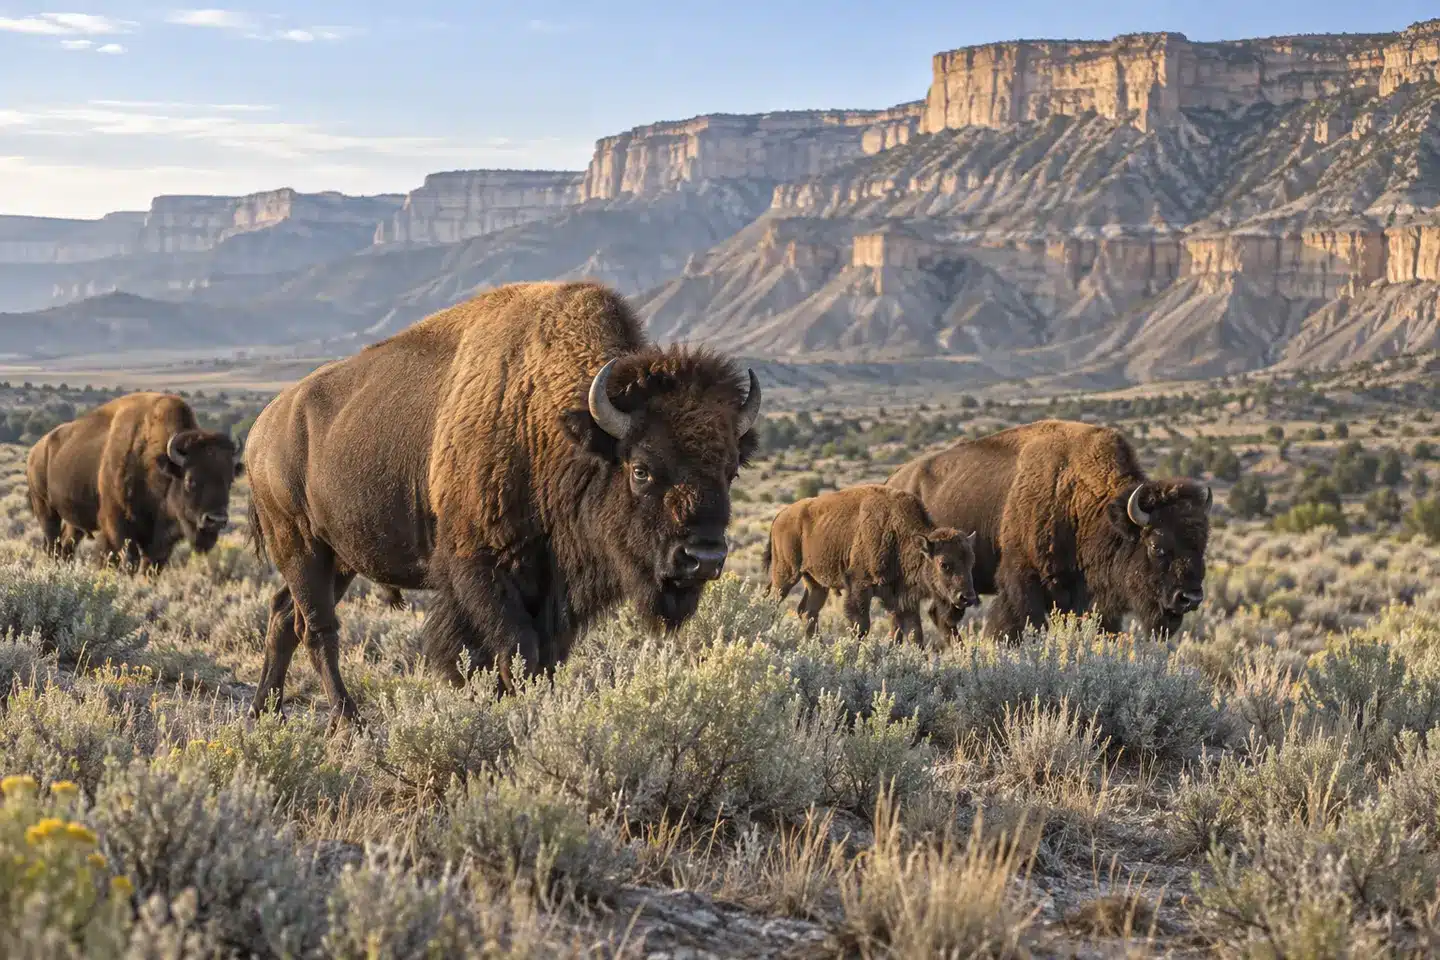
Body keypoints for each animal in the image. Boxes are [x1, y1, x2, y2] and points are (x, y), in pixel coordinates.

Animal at [26, 391, 243, 571]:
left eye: (230, 480)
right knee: (53, 543)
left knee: (66, 545)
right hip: (45, 508)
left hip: (75, 520)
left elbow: (150, 568)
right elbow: (125, 561)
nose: (216, 520)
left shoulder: (161, 541)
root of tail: (36, 449)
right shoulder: (117, 528)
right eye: (190, 479)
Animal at [244, 281, 761, 723]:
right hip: (301, 546)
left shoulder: (552, 590)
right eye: (641, 469)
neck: (547, 424)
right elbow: (514, 656)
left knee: (284, 617)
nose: (703, 557)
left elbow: (544, 660)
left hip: (341, 558)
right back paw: (349, 724)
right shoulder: (481, 571)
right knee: (318, 630)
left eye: (731, 470)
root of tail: (261, 428)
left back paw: (263, 712)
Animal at [764, 484, 978, 644]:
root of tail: (781, 515)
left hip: (816, 582)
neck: (897, 533)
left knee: (808, 612)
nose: (967, 597)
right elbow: (861, 627)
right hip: (786, 574)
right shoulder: (859, 586)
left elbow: (915, 634)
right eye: (944, 564)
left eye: (971, 562)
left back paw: (816, 646)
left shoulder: (902, 598)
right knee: (773, 603)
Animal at [887, 419, 1210, 640]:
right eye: (1156, 545)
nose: (1190, 598)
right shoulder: (1022, 582)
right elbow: (1014, 627)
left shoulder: (1084, 597)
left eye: (1202, 545)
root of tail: (894, 480)